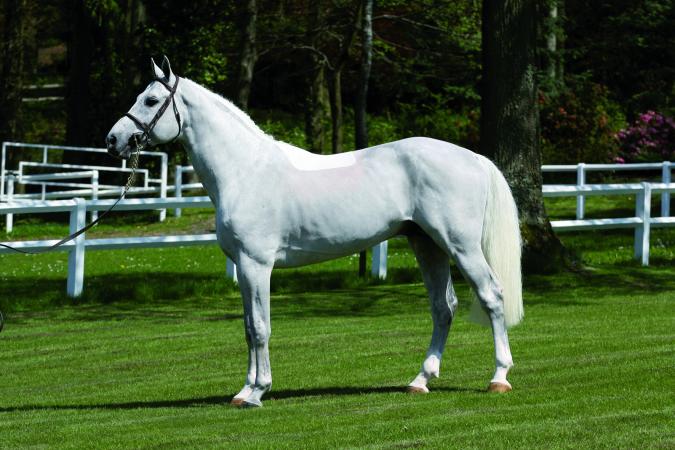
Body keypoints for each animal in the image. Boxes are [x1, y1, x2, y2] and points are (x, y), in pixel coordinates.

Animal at [106, 56, 523, 408]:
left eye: (151, 100)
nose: (114, 140)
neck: (245, 170)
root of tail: (474, 158)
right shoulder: (243, 267)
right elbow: (248, 328)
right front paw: (245, 389)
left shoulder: (257, 265)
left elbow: (260, 327)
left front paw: (256, 392)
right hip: (427, 245)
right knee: (443, 308)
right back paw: (420, 381)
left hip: (460, 246)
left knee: (491, 295)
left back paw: (499, 377)